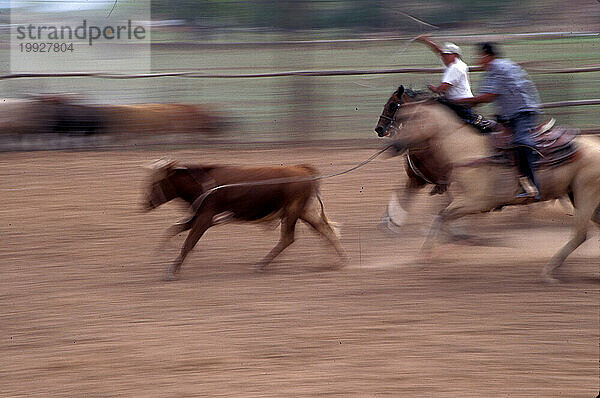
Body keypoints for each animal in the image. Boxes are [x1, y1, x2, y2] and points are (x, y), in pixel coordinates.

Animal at [142, 159, 346, 280]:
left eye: (157, 182)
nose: (146, 203)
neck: (203, 184)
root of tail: (303, 169)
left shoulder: (205, 218)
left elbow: (189, 242)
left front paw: (172, 270)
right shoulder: (200, 216)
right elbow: (173, 229)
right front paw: (158, 255)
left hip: (293, 210)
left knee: (288, 238)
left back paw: (261, 265)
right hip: (304, 211)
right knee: (325, 230)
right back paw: (337, 260)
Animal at [378, 86, 596, 282]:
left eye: (393, 106)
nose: (381, 132)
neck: (468, 147)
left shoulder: (476, 201)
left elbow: (440, 217)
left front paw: (428, 253)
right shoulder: (431, 185)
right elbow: (437, 214)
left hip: (585, 195)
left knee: (580, 233)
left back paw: (549, 270)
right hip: (581, 198)